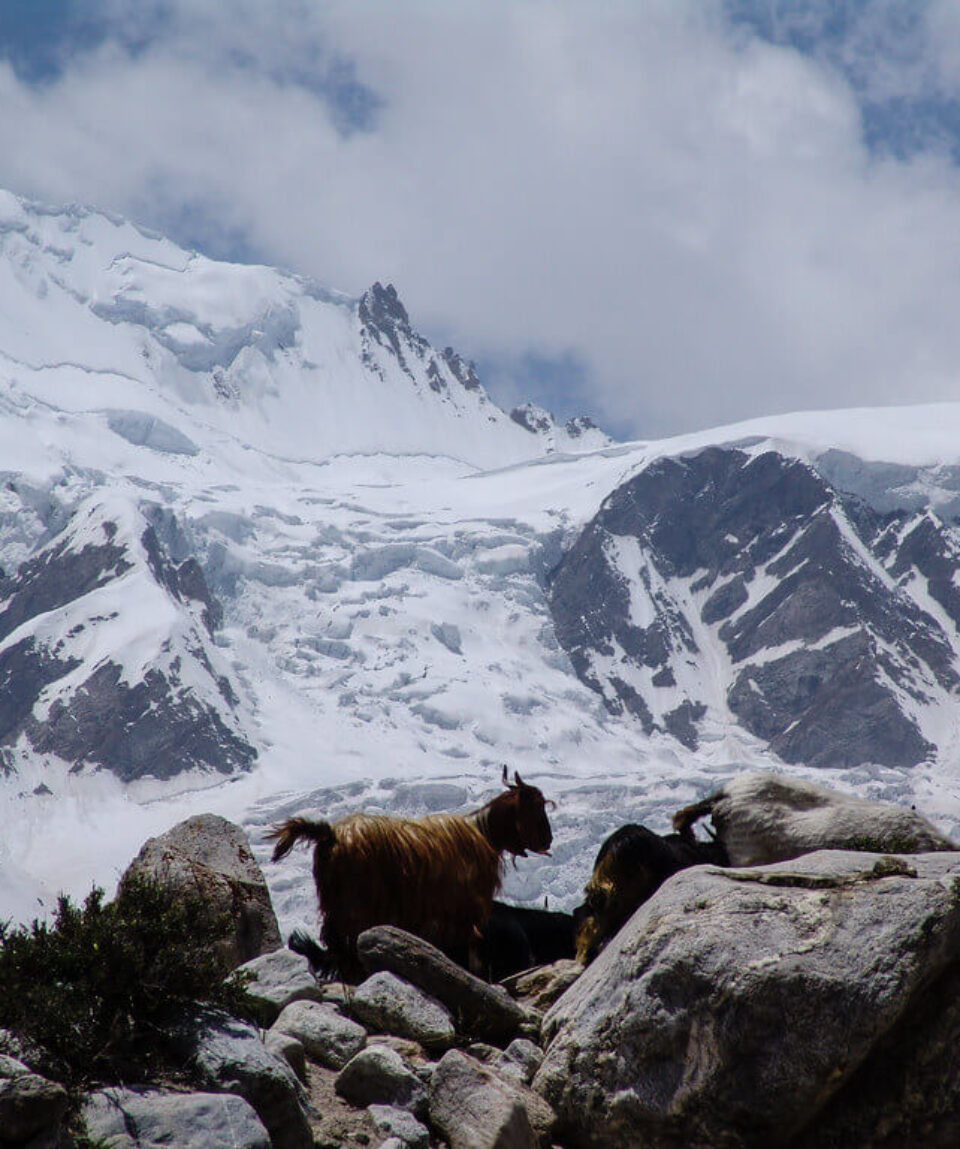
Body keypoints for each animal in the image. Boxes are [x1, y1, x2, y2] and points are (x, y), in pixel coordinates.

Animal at [266, 772, 551, 978]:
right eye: (536, 806)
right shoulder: (464, 910)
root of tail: (330, 835)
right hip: (356, 905)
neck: (483, 833)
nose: (548, 839)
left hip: (335, 902)